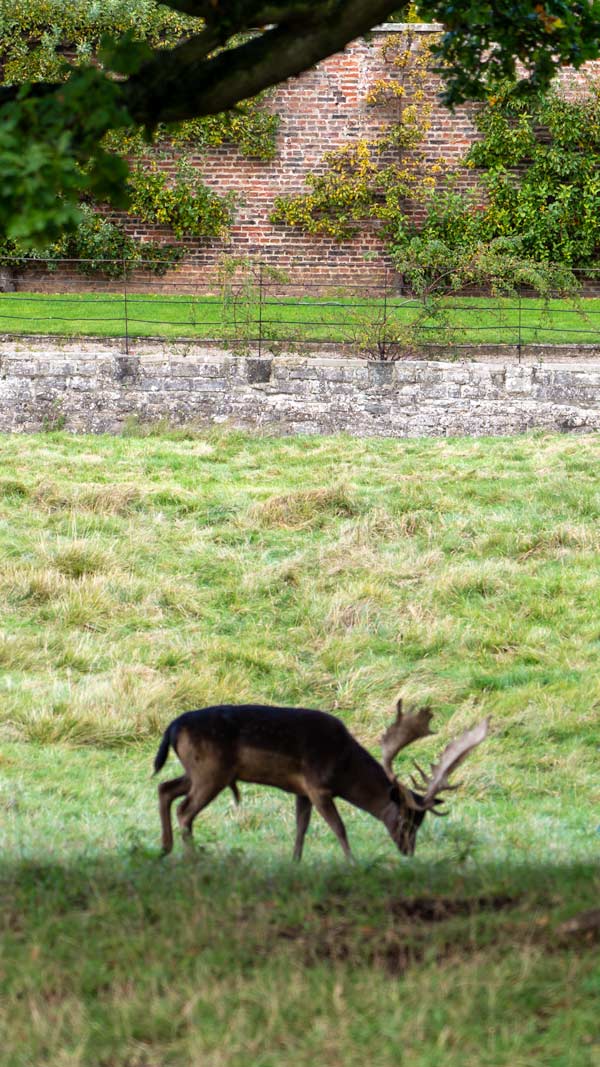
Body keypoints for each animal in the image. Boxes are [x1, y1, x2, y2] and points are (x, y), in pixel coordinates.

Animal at [152, 699, 486, 857]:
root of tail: (172, 727)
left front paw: (295, 862)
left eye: (419, 823)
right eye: (405, 820)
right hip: (210, 772)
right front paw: (353, 863)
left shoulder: (301, 791)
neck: (344, 766)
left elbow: (301, 828)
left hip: (199, 771)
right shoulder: (318, 786)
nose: (408, 851)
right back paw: (191, 857)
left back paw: (165, 849)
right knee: (184, 810)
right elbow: (339, 828)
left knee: (164, 788)